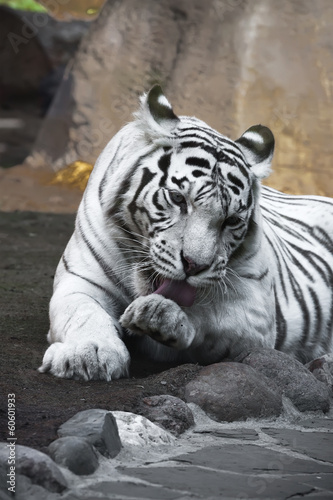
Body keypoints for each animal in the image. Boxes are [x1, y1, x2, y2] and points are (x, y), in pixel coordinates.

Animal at [39, 86, 332, 380]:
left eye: (231, 220)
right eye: (178, 198)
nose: (194, 265)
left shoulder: (256, 311)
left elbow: (209, 313)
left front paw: (159, 313)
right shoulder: (82, 279)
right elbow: (83, 313)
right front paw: (90, 355)